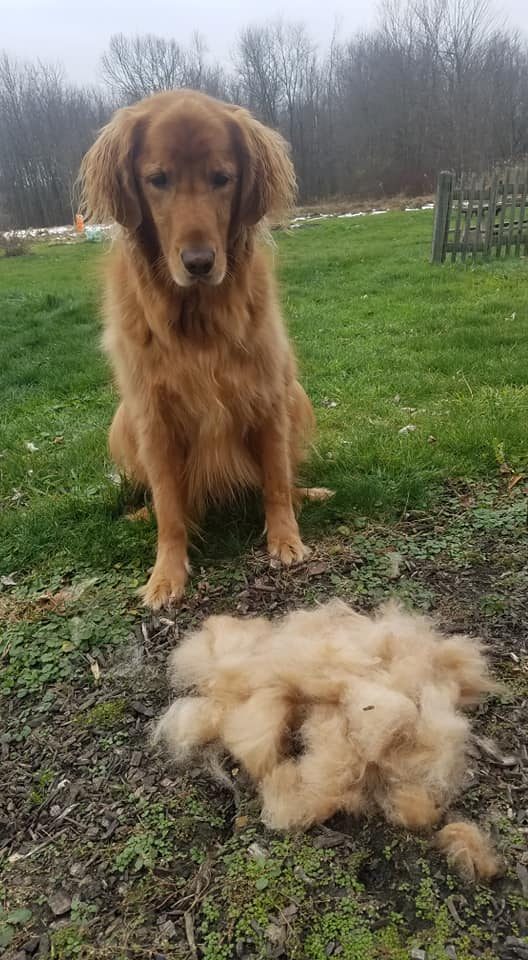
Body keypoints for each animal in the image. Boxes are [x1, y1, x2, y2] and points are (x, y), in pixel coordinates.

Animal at [80, 90, 324, 608]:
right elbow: (170, 508)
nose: (199, 263)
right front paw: (166, 575)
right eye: (157, 180)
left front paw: (286, 540)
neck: (196, 319)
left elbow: (276, 480)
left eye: (221, 179)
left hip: (296, 394)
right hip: (122, 420)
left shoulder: (268, 394)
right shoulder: (152, 415)